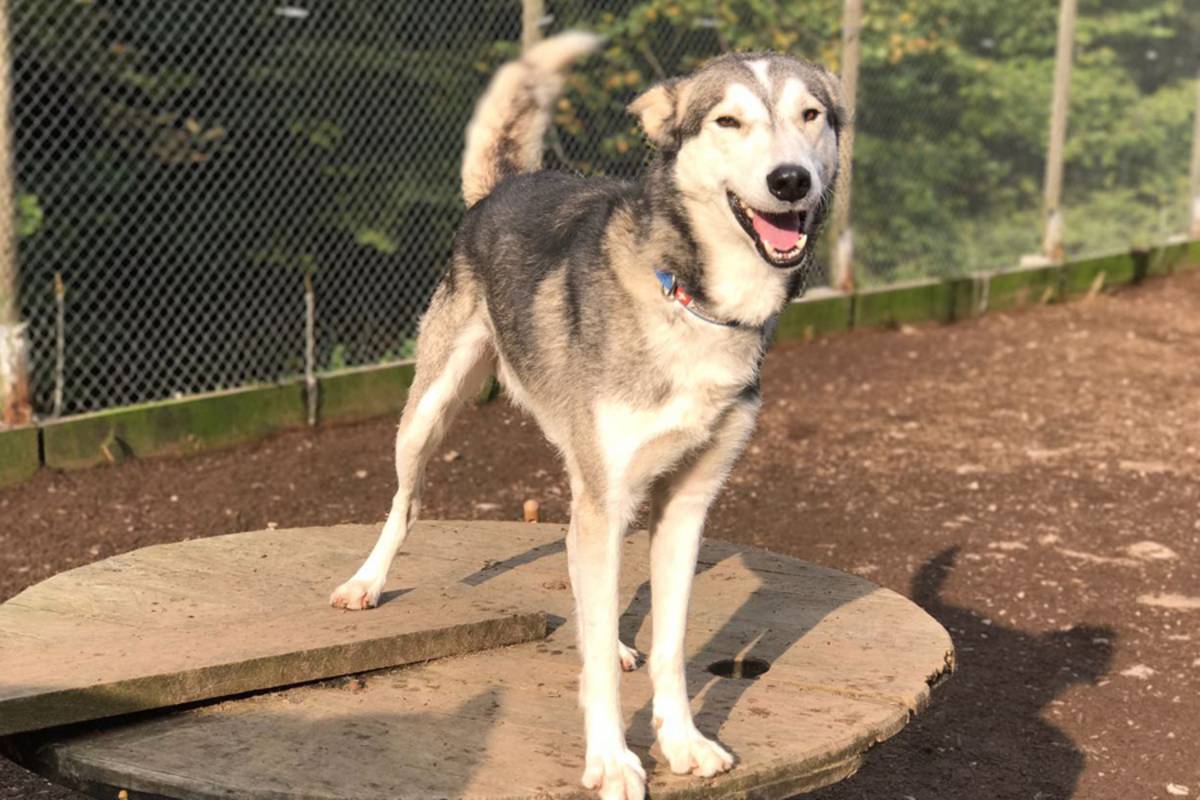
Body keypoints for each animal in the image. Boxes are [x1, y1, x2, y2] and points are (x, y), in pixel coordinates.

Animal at [330, 31, 844, 800]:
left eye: (811, 114)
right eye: (728, 121)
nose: (790, 182)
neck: (693, 302)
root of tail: (505, 185)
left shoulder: (683, 506)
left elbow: (671, 643)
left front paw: (682, 740)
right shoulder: (605, 496)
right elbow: (596, 658)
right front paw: (611, 760)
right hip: (428, 416)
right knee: (406, 503)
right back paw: (367, 583)